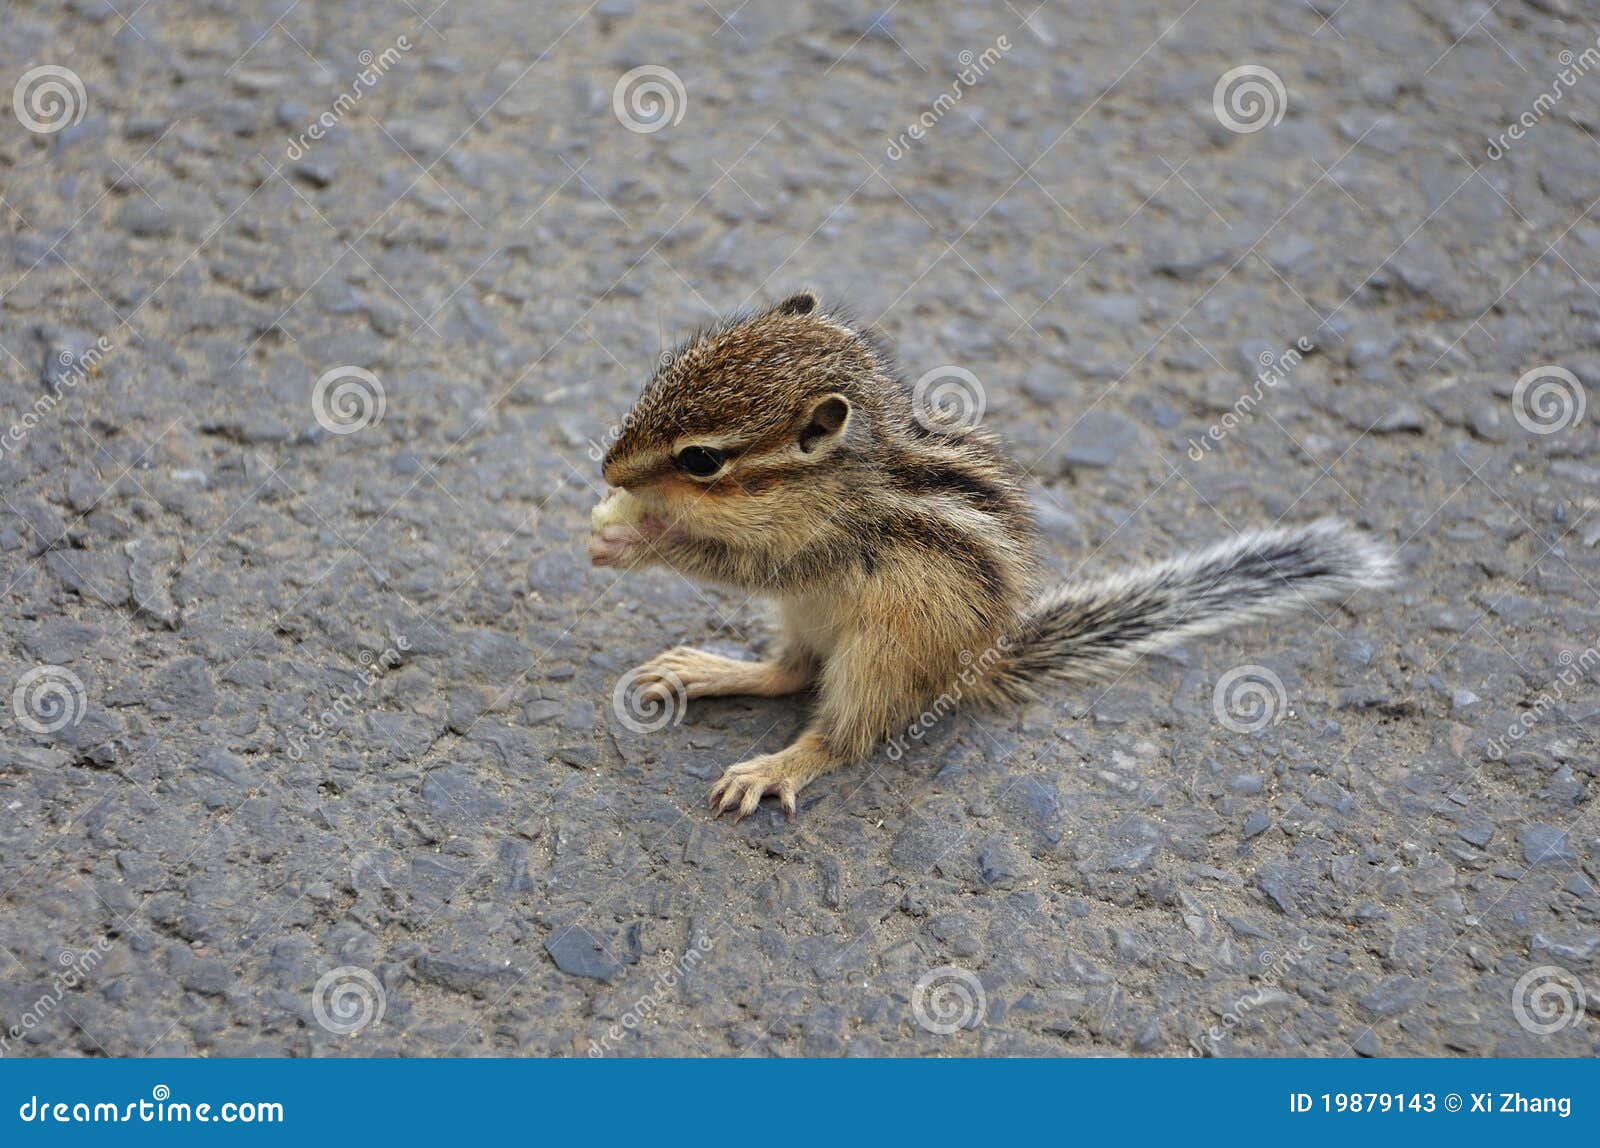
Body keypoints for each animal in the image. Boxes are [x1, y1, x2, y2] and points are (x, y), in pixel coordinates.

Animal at [588, 291, 1392, 821]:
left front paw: (634, 538)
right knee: (788, 671)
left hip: (880, 655)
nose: (606, 468)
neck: (841, 475)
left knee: (844, 731)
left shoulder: (819, 547)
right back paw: (709, 670)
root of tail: (976, 660)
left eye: (700, 461)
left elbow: (735, 563)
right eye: (662, 378)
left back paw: (778, 763)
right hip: (809, 623)